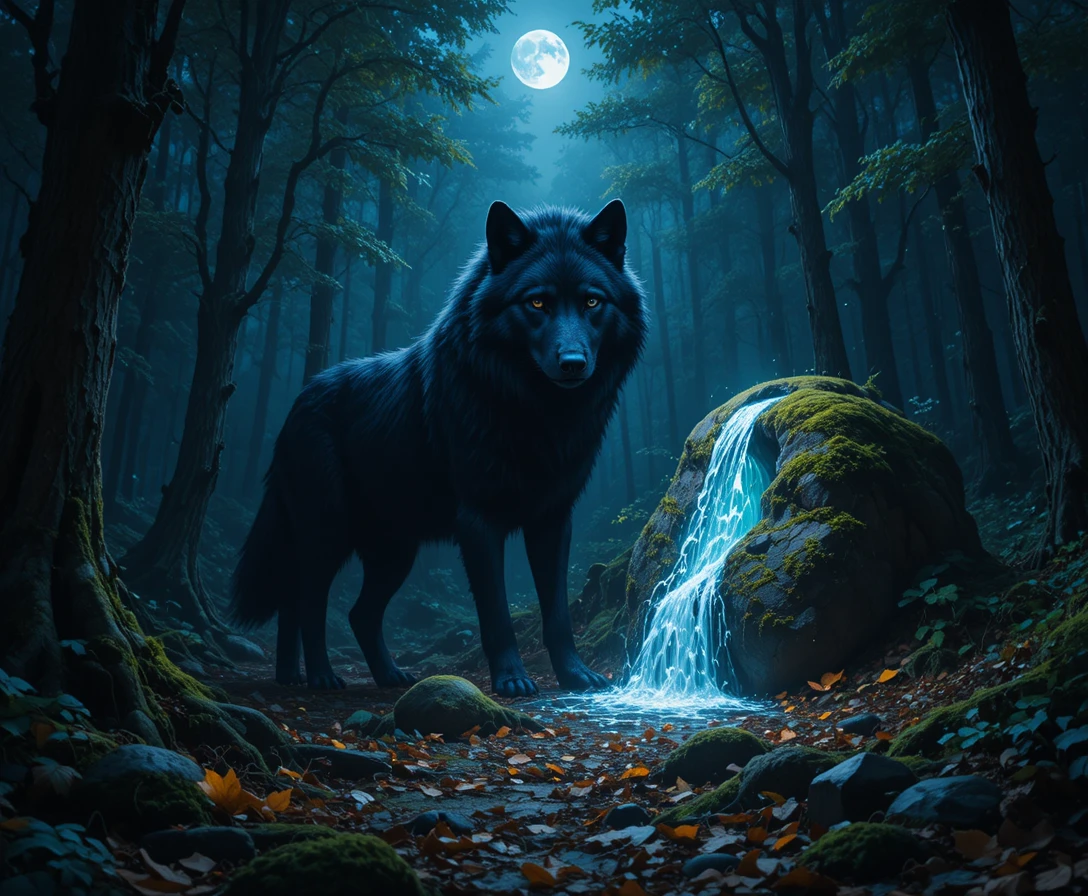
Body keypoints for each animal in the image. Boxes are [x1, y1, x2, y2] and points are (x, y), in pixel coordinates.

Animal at [230, 200, 648, 696]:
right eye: (537, 302)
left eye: (591, 301)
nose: (573, 363)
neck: (536, 415)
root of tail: (297, 403)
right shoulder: (478, 522)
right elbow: (496, 614)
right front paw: (512, 680)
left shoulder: (552, 520)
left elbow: (558, 613)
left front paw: (575, 675)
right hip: (329, 533)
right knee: (310, 600)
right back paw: (321, 677)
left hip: (394, 552)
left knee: (350, 612)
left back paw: (356, 677)